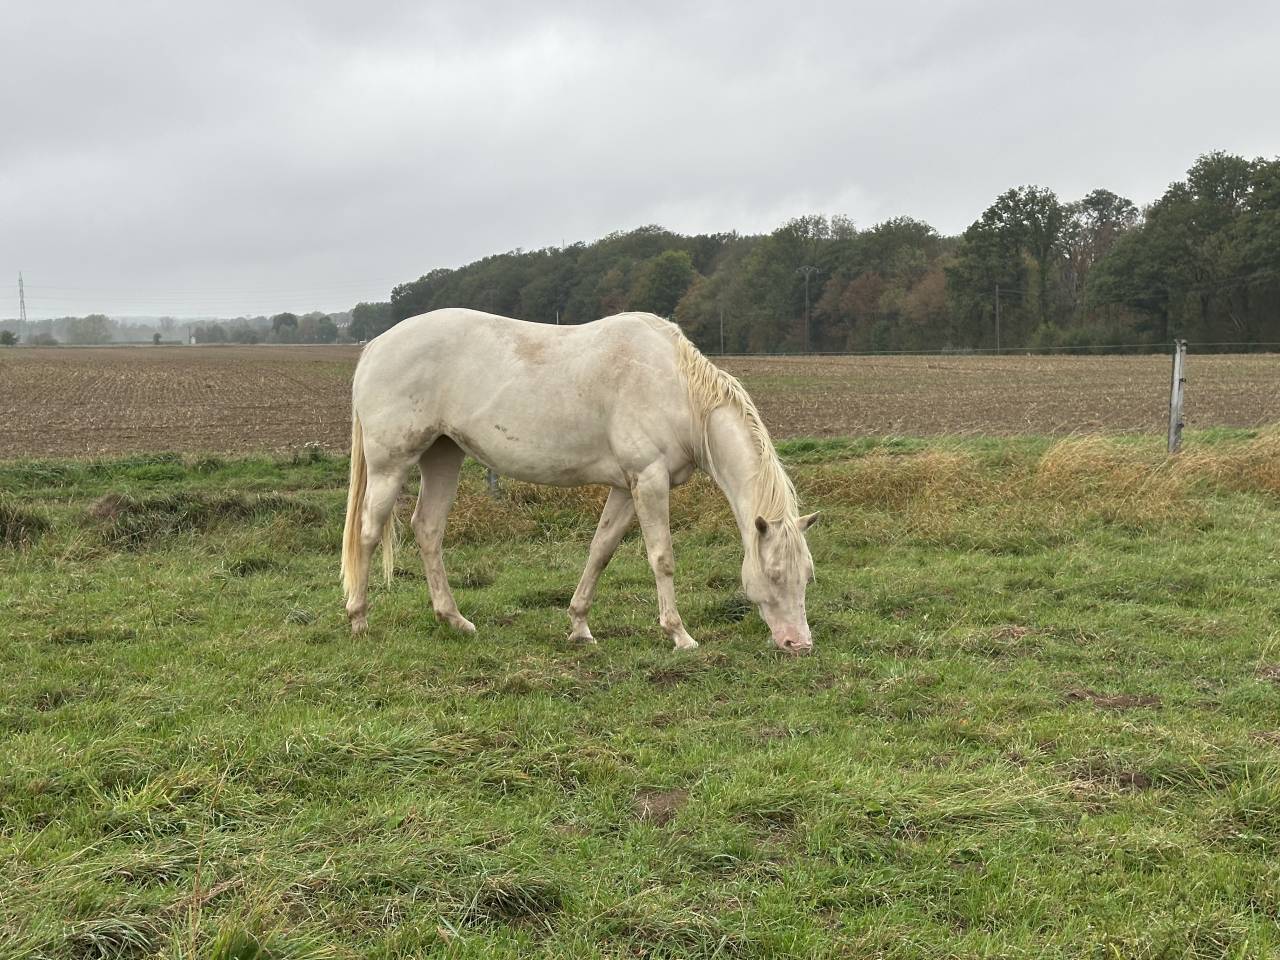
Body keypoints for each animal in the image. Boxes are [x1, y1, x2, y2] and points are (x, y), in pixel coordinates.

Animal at [340, 309, 819, 654]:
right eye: (774, 574)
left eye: (807, 575)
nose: (798, 643)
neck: (677, 389)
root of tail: (376, 345)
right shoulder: (649, 480)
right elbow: (661, 557)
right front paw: (679, 634)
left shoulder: (626, 487)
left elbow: (600, 551)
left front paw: (579, 625)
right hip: (390, 464)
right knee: (368, 532)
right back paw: (359, 620)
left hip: (443, 456)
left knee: (428, 529)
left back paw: (454, 620)